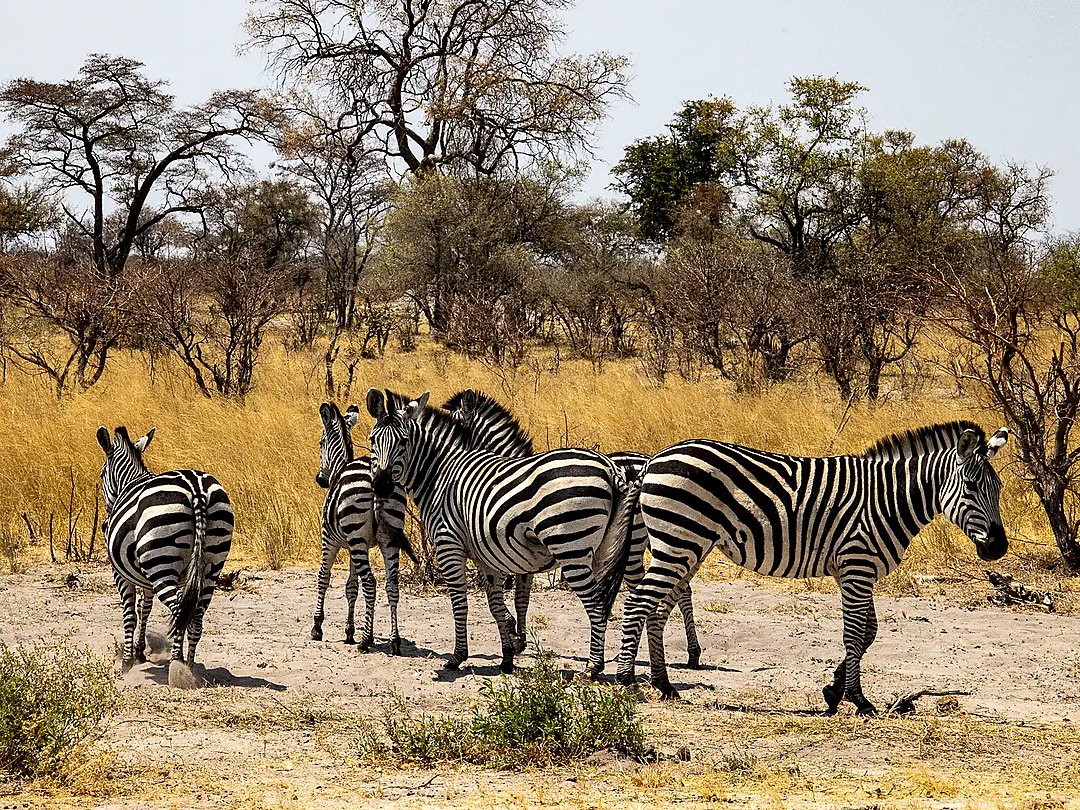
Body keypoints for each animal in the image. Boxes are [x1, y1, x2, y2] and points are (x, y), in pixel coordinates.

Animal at [96, 425, 234, 688]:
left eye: (100, 476)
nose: (105, 524)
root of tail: (196, 489)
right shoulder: (149, 576)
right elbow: (145, 608)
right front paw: (140, 653)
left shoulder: (121, 574)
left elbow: (130, 613)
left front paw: (127, 663)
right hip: (212, 564)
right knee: (195, 615)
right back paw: (189, 667)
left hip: (160, 563)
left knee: (180, 611)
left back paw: (177, 666)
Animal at [313, 402, 413, 653]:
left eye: (320, 442)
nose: (320, 480)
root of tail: (377, 482)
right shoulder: (355, 547)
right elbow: (351, 586)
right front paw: (349, 631)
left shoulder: (330, 539)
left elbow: (324, 577)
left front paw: (317, 626)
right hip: (388, 539)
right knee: (391, 585)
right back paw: (395, 641)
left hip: (357, 536)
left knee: (370, 583)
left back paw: (366, 640)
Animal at [366, 388, 634, 676]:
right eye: (372, 440)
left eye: (403, 442)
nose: (381, 486)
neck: (441, 475)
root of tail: (610, 469)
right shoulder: (488, 556)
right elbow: (497, 605)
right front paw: (507, 656)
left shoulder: (449, 545)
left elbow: (460, 603)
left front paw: (458, 657)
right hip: (604, 550)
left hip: (570, 547)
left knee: (596, 604)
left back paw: (593, 667)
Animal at [444, 389, 702, 666]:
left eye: (457, 426)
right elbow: (521, 597)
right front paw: (517, 636)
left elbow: (520, 597)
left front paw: (518, 639)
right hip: (664, 537)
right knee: (681, 588)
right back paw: (691, 653)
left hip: (634, 544)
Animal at [613, 421, 1009, 715]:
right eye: (971, 486)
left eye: (999, 487)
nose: (998, 548)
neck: (888, 500)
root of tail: (653, 460)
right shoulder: (856, 566)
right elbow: (855, 634)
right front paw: (859, 700)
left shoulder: (858, 570)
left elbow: (869, 632)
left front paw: (834, 690)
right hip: (678, 541)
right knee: (638, 603)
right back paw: (627, 682)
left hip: (688, 546)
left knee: (658, 608)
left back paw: (664, 684)